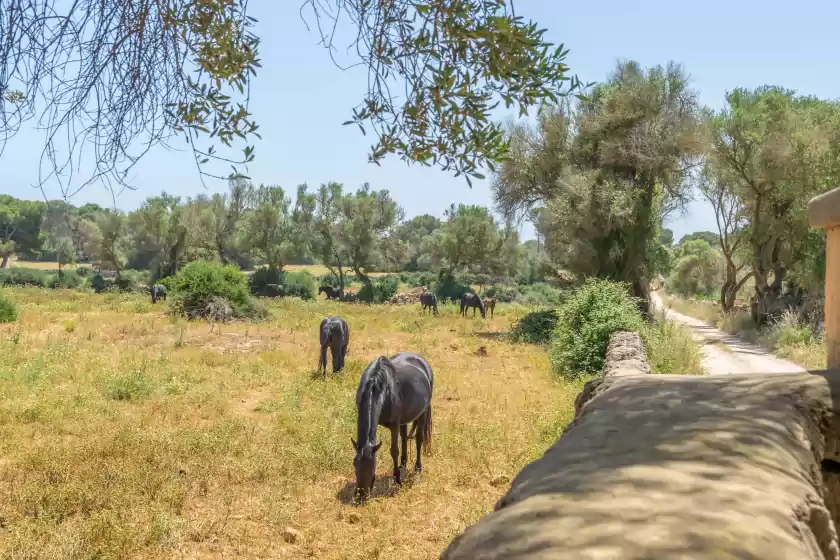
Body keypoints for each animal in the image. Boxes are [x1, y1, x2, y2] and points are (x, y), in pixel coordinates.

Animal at [352, 352, 434, 500]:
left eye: (372, 465)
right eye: (354, 462)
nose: (360, 496)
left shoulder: (394, 425)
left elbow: (394, 451)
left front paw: (397, 480)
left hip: (423, 413)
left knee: (419, 439)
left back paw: (418, 468)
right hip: (404, 420)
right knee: (404, 438)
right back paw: (403, 464)